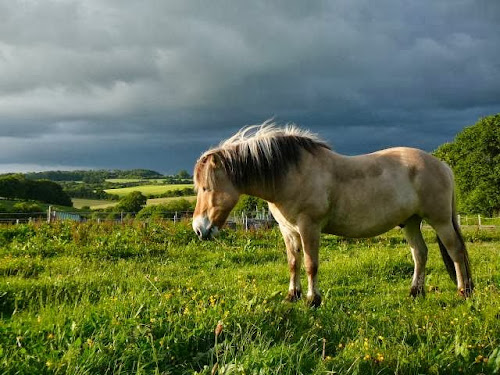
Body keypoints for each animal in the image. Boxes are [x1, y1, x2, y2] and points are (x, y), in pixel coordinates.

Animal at [193, 122, 474, 306]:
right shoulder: (288, 230)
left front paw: (312, 300)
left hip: (440, 221)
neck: (291, 174)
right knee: (420, 253)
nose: (199, 228)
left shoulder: (309, 227)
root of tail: (442, 165)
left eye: (207, 187)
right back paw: (416, 292)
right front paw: (292, 296)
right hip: (411, 222)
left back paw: (463, 292)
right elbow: (293, 263)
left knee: (455, 251)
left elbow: (310, 264)